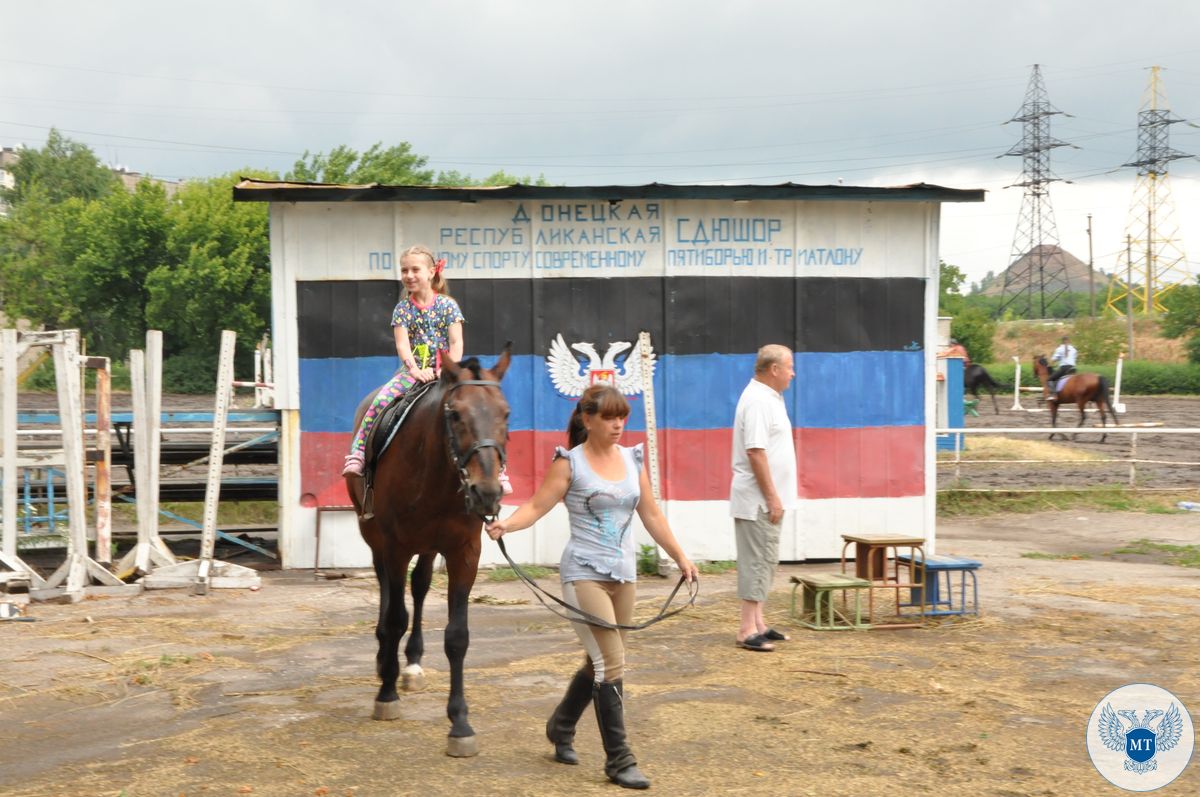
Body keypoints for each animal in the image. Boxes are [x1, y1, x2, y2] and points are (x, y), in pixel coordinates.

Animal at [345, 350, 508, 758]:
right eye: (456, 414)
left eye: (506, 413)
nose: (487, 492)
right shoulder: (395, 546)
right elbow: (395, 617)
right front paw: (386, 694)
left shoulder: (464, 553)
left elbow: (457, 636)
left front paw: (460, 724)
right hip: (375, 537)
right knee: (387, 591)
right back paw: (384, 659)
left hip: (430, 546)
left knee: (418, 586)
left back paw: (412, 664)